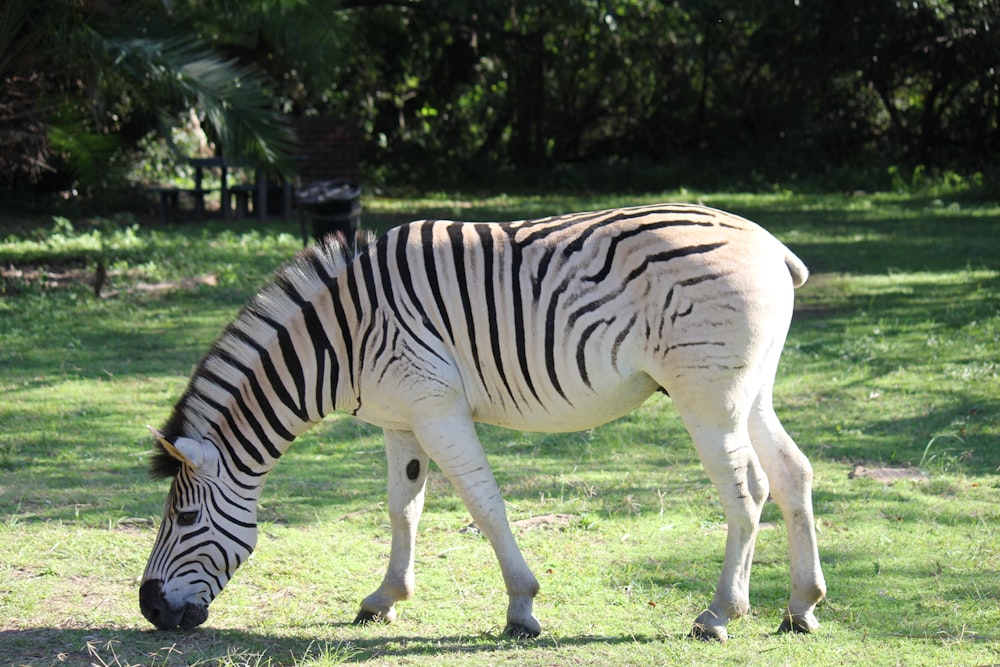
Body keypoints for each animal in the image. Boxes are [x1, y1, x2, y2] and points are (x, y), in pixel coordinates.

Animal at [141, 202, 828, 640]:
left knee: (748, 491)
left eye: (183, 519)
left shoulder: (437, 407)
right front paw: (384, 600)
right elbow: (404, 508)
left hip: (707, 396)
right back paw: (799, 608)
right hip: (752, 390)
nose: (149, 610)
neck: (340, 343)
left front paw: (521, 609)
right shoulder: (400, 419)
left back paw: (719, 615)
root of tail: (769, 243)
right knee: (792, 474)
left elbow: (483, 504)